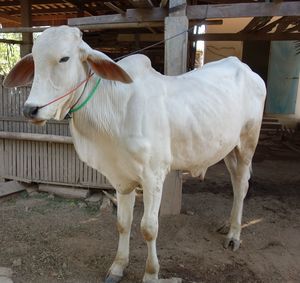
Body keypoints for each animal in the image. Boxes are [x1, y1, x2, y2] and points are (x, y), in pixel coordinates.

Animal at [4, 25, 264, 282]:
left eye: (64, 58)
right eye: (34, 61)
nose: (30, 109)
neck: (114, 109)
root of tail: (247, 69)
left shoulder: (153, 176)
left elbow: (149, 228)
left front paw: (151, 273)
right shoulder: (120, 178)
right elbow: (123, 223)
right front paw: (118, 266)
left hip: (247, 143)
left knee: (242, 185)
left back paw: (234, 235)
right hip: (228, 148)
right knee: (235, 184)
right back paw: (228, 225)